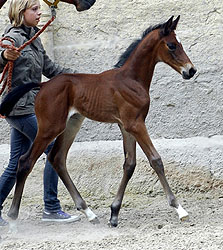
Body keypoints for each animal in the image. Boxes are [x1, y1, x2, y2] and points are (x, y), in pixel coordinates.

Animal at [0, 15, 195, 227]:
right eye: (172, 45)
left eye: (180, 43)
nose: (191, 71)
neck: (131, 79)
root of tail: (43, 85)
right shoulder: (135, 124)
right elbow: (156, 160)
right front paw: (180, 209)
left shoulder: (126, 126)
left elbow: (130, 164)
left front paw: (114, 214)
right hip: (49, 128)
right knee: (25, 161)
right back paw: (12, 216)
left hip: (71, 124)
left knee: (57, 158)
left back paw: (88, 212)